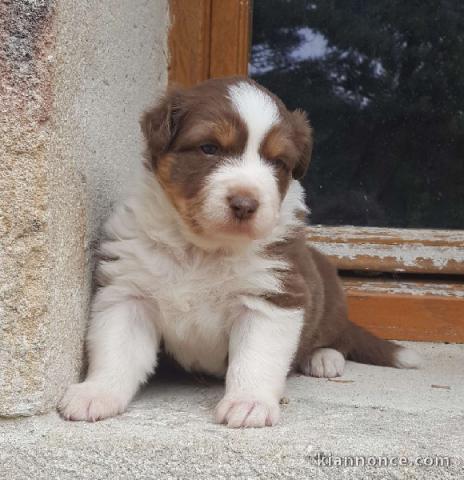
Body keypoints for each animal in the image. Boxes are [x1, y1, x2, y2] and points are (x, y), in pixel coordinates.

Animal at [59, 76, 420, 428]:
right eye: (209, 148)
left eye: (277, 161)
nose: (245, 204)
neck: (201, 249)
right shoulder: (128, 293)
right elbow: (117, 351)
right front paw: (96, 394)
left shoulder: (270, 298)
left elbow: (254, 360)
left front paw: (249, 403)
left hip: (329, 292)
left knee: (339, 335)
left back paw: (323, 357)